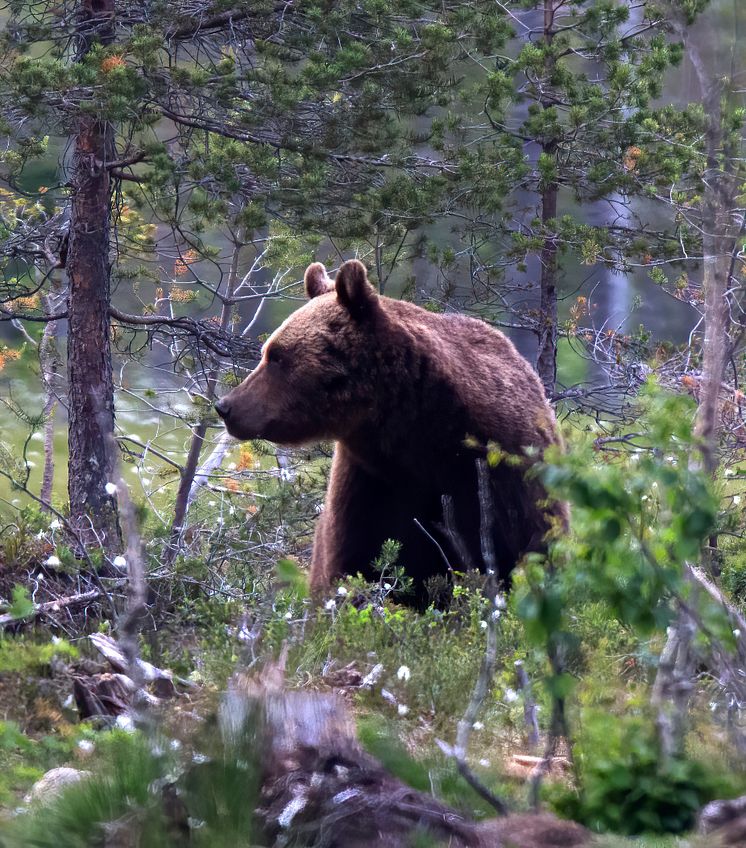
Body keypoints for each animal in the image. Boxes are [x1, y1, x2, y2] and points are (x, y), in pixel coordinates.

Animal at [212, 262, 560, 600]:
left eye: (277, 356)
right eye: (267, 352)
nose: (226, 406)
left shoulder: (499, 475)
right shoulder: (370, 485)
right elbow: (351, 567)